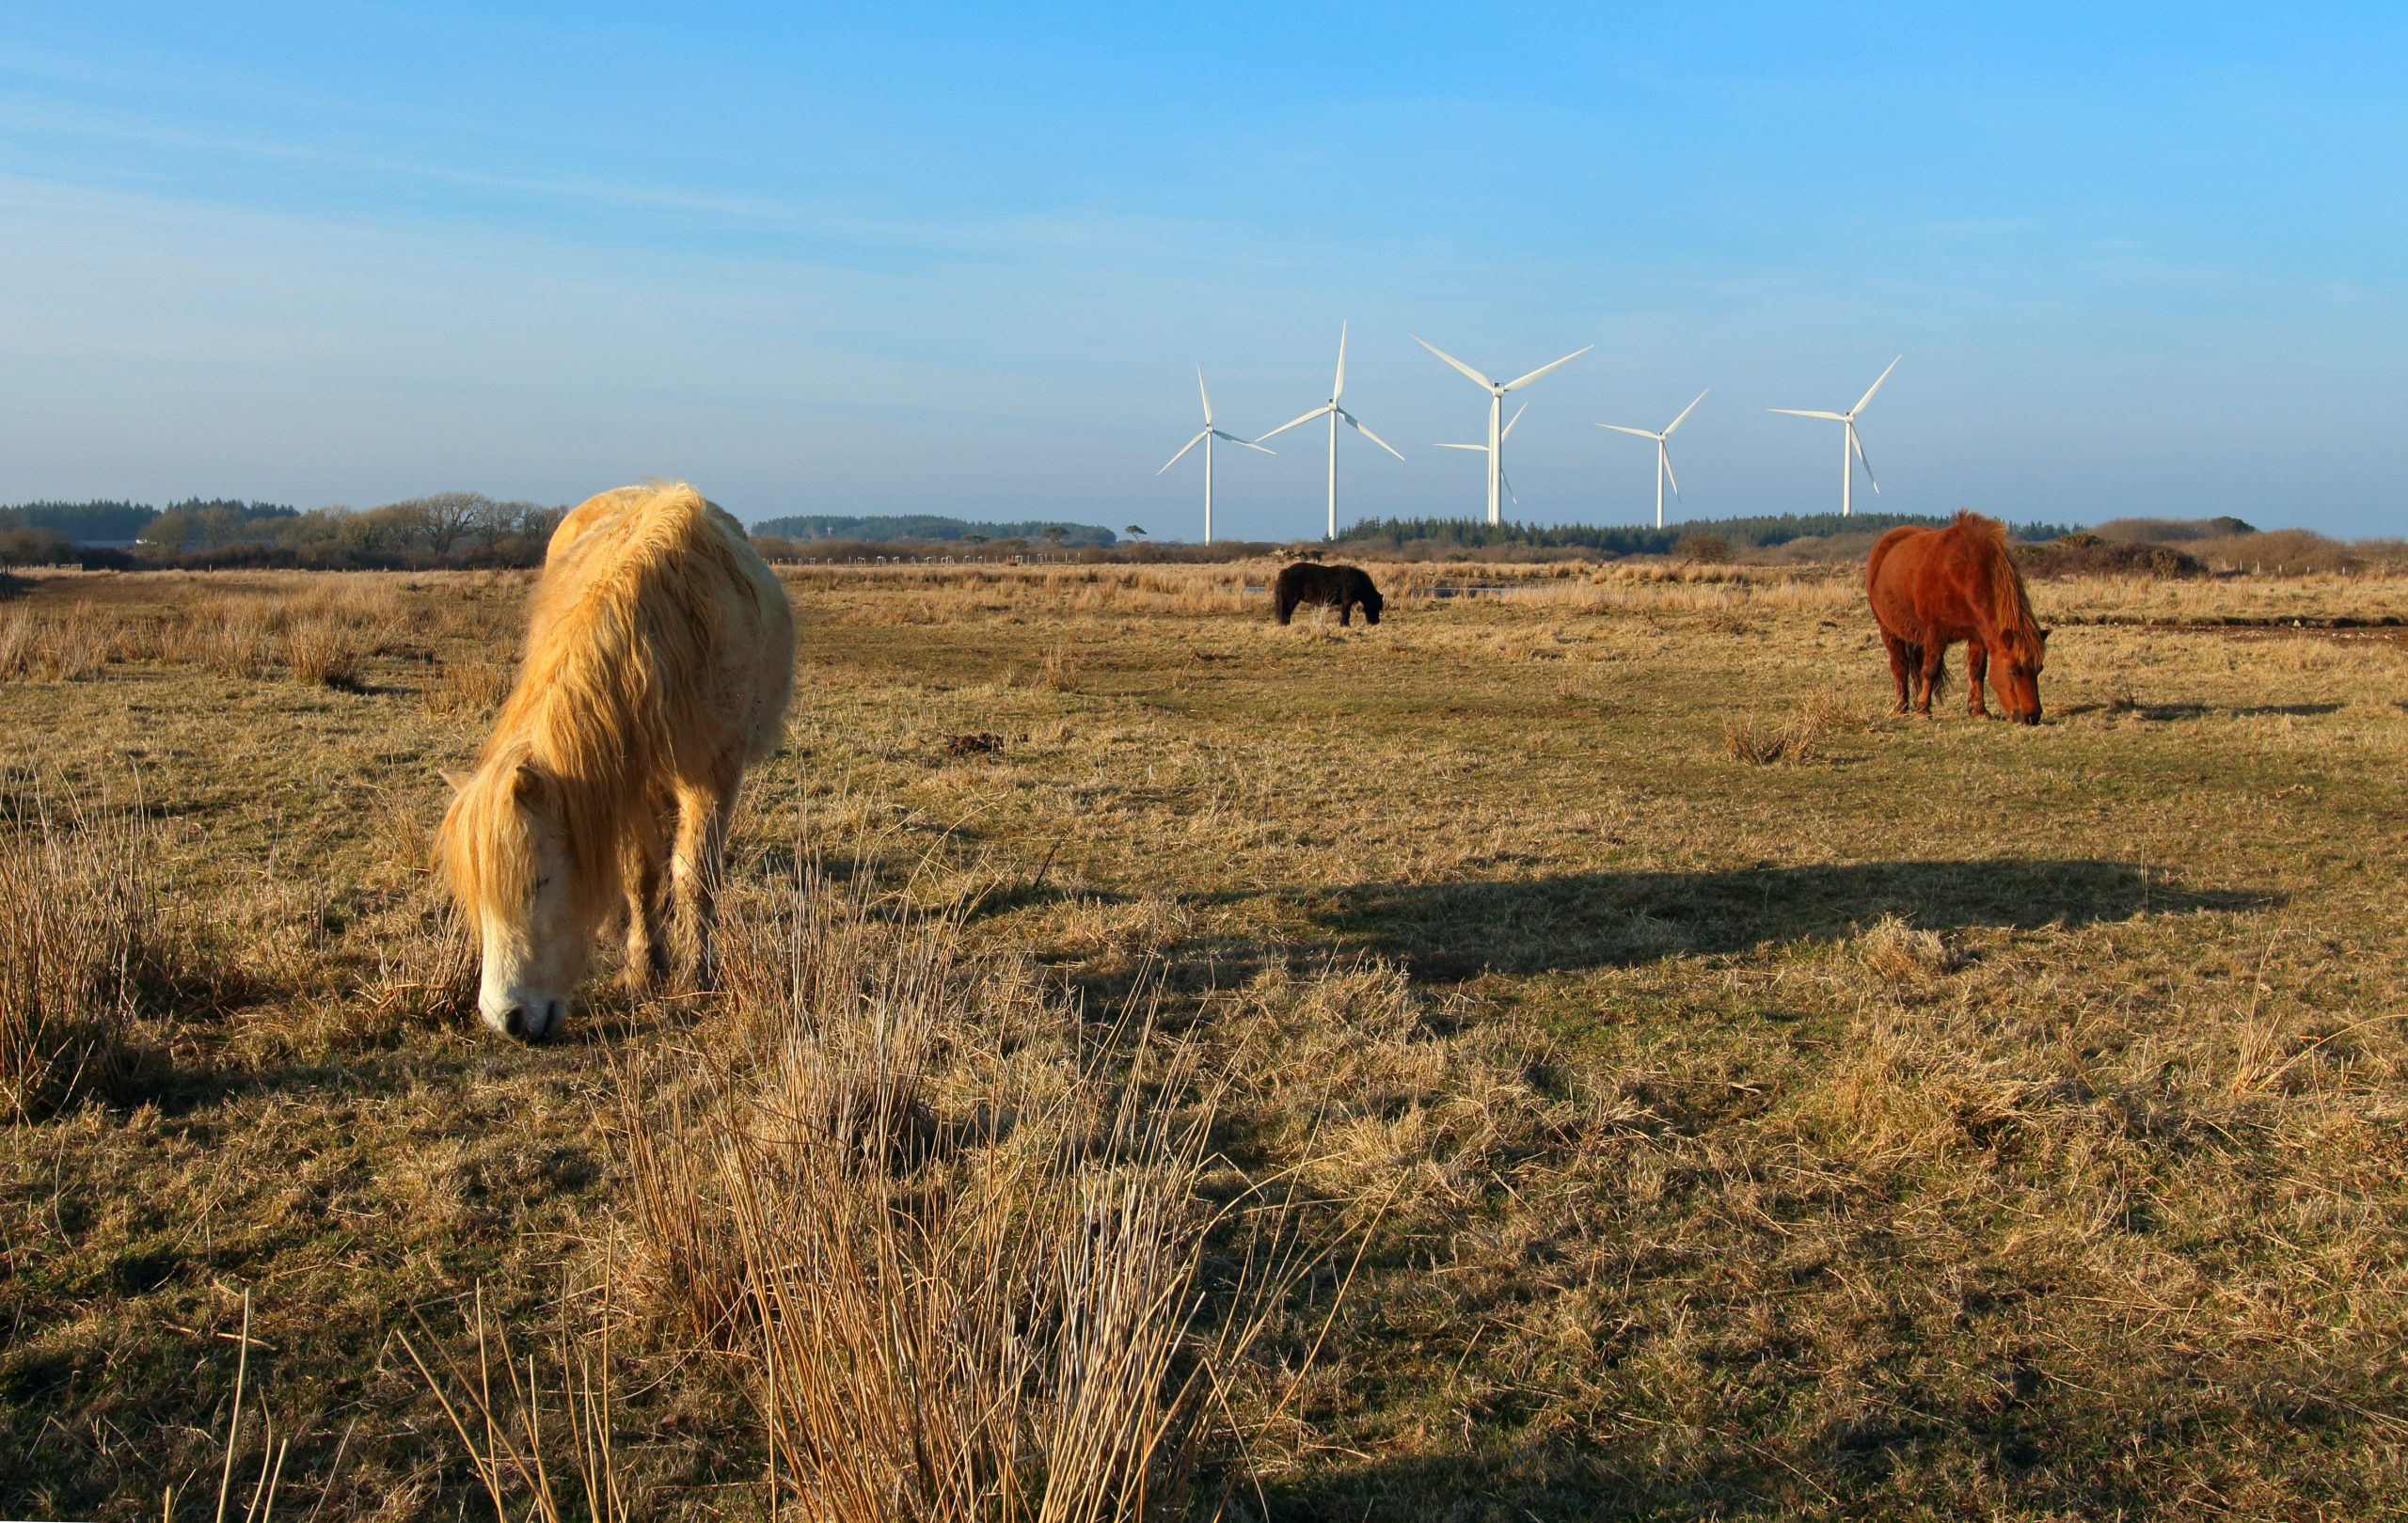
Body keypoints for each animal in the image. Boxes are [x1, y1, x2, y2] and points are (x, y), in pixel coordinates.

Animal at [436, 482, 795, 1039]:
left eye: (540, 881)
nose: (507, 1020)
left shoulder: (712, 774)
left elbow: (694, 875)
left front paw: (696, 978)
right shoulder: (629, 785)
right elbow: (637, 874)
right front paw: (642, 968)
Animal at [1866, 510, 2048, 724]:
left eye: (2039, 668)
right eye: (2014, 670)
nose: (2032, 717)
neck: (1964, 573)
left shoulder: (1978, 635)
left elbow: (1977, 670)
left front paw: (1979, 710)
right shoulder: (1936, 634)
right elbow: (1931, 669)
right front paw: (1923, 710)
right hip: (1888, 631)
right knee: (1899, 667)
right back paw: (1901, 707)